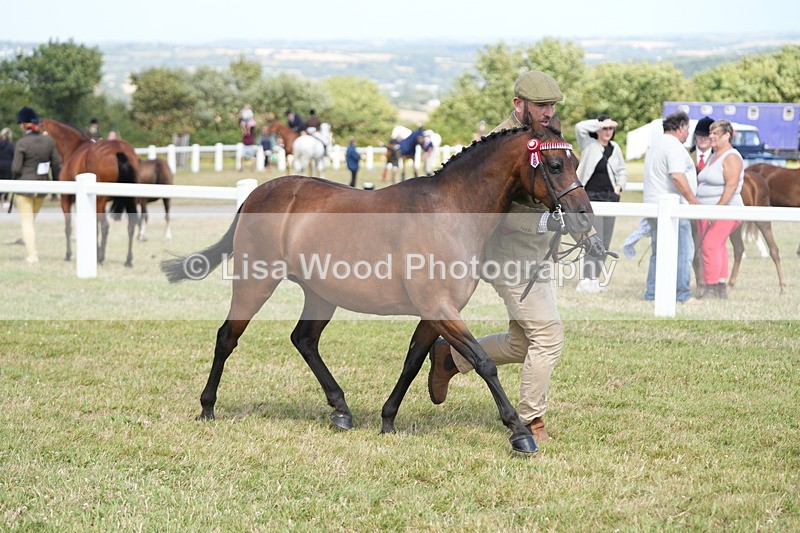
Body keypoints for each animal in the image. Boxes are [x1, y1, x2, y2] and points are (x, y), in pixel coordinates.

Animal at [40, 118, 140, 267]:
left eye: (37, 131)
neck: (74, 148)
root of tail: (119, 150)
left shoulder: (66, 199)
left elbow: (68, 226)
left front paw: (68, 254)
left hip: (100, 201)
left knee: (104, 226)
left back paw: (100, 257)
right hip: (128, 200)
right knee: (131, 225)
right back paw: (128, 260)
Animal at [161, 120, 597, 454]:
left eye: (576, 161)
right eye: (554, 164)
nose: (583, 218)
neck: (450, 211)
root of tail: (258, 193)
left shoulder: (435, 312)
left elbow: (413, 361)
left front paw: (388, 419)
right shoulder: (440, 308)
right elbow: (483, 362)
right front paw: (520, 433)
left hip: (321, 294)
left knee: (304, 340)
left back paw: (341, 410)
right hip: (256, 281)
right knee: (227, 337)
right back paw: (207, 407)